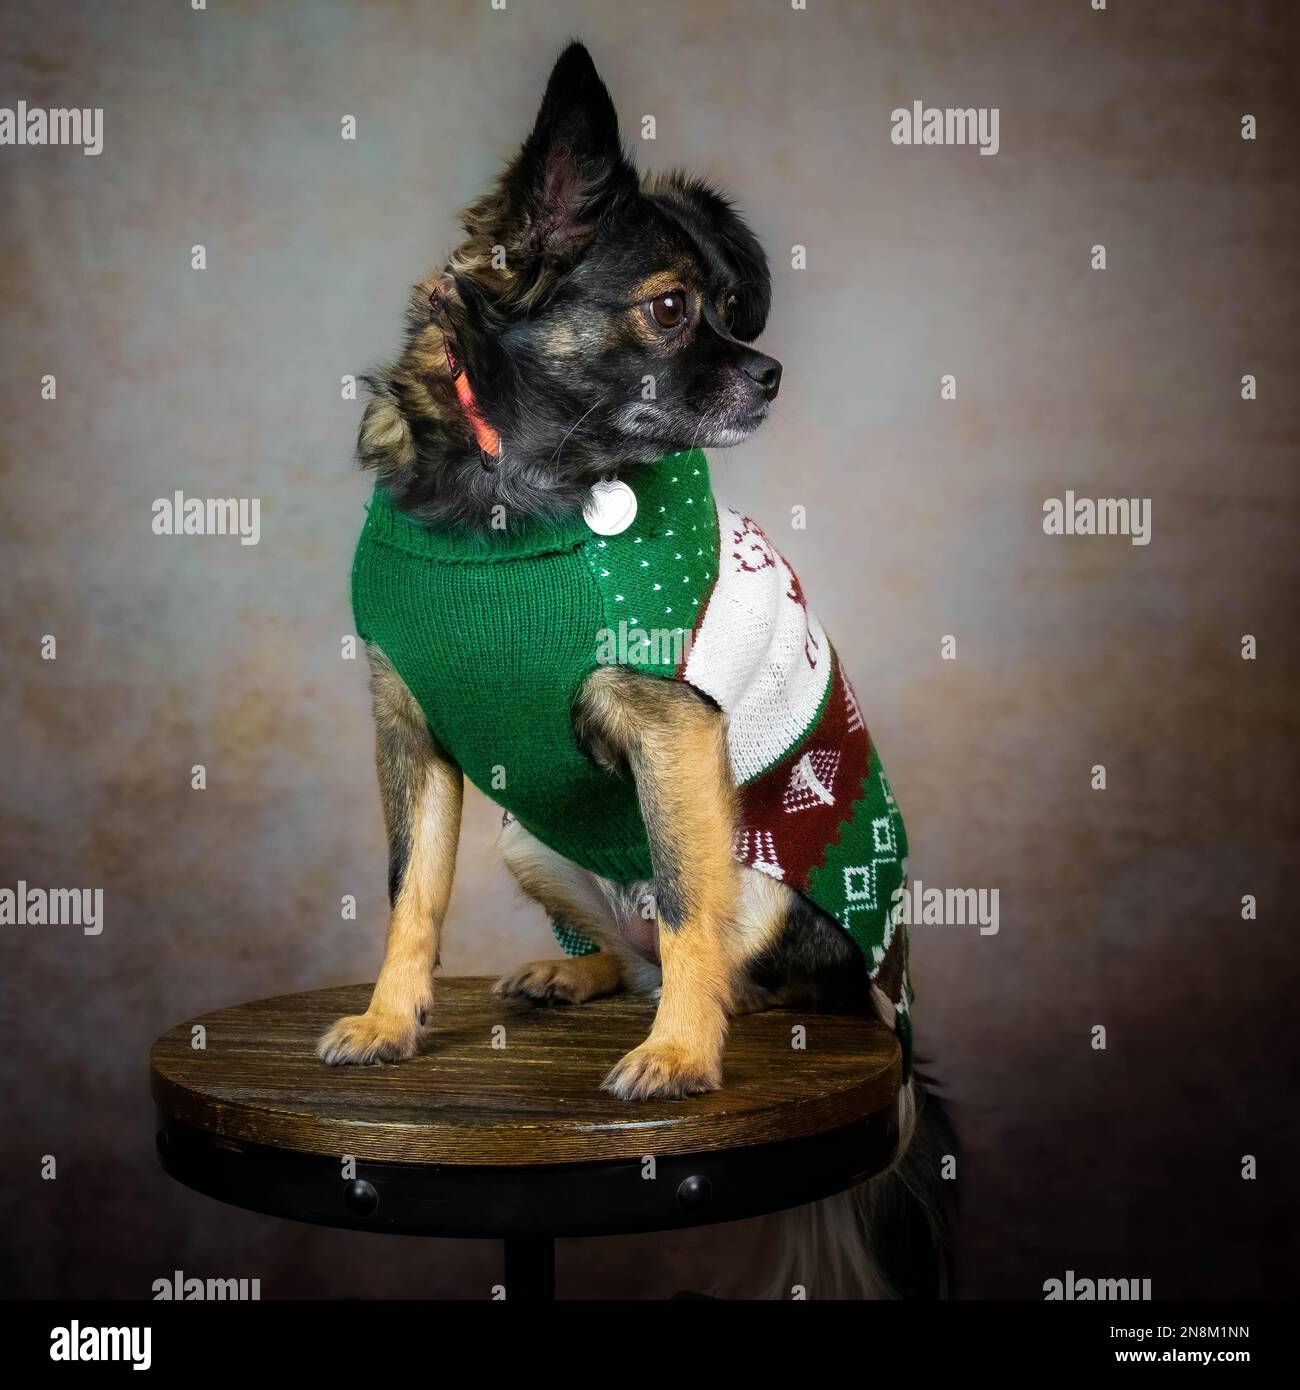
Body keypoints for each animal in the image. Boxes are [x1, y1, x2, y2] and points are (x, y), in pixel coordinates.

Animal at [321, 40, 962, 1301]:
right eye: (670, 308)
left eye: (726, 306)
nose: (769, 372)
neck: (517, 483)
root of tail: (882, 997)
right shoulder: (408, 733)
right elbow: (409, 891)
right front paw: (387, 1020)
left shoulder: (674, 728)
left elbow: (683, 899)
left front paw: (679, 1057)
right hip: (527, 839)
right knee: (626, 956)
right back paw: (572, 977)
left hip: (771, 881)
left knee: (712, 953)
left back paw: (702, 1014)